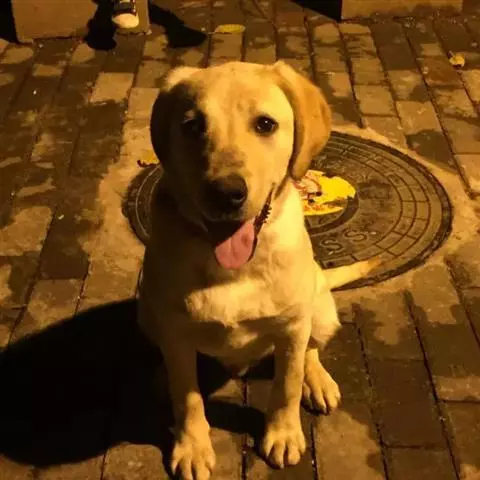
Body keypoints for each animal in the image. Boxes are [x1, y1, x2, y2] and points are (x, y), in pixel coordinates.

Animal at [138, 61, 375, 480]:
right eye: (192, 126)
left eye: (265, 124)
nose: (226, 193)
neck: (234, 266)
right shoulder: (176, 331)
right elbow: (188, 395)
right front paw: (192, 446)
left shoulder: (292, 327)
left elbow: (287, 385)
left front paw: (283, 434)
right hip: (146, 311)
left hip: (318, 310)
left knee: (311, 350)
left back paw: (318, 381)